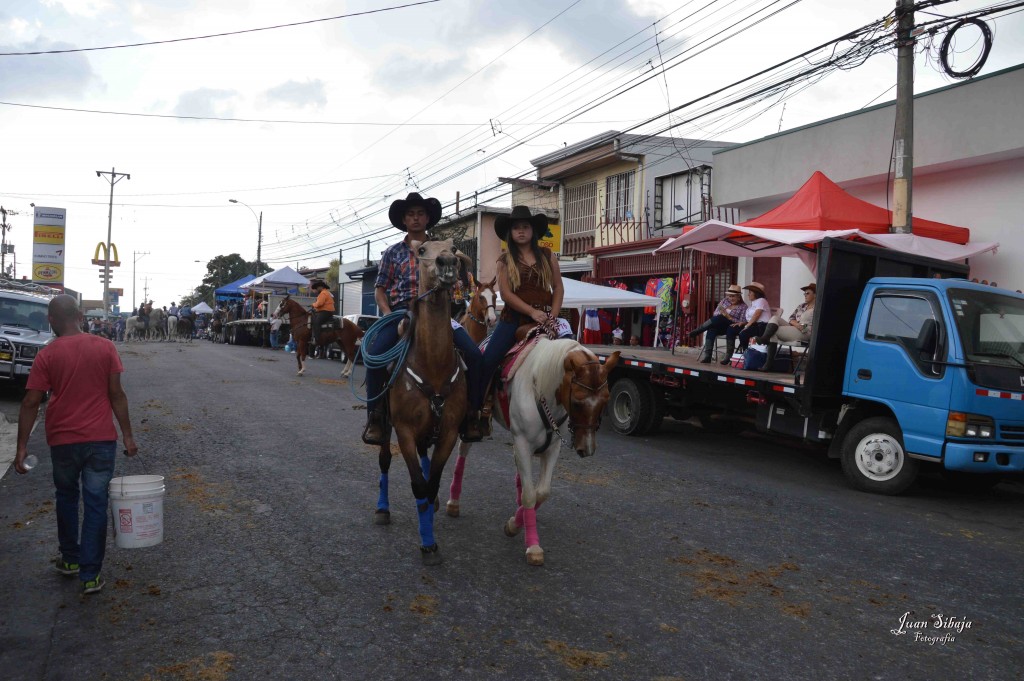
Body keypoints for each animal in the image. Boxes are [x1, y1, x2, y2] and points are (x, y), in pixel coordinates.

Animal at [374, 238, 473, 561]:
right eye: (421, 251)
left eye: (453, 248)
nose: (447, 263)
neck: (433, 365)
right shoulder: (404, 430)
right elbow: (418, 485)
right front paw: (427, 541)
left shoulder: (450, 432)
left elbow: (431, 484)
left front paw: (429, 533)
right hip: (386, 427)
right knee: (383, 460)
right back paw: (382, 509)